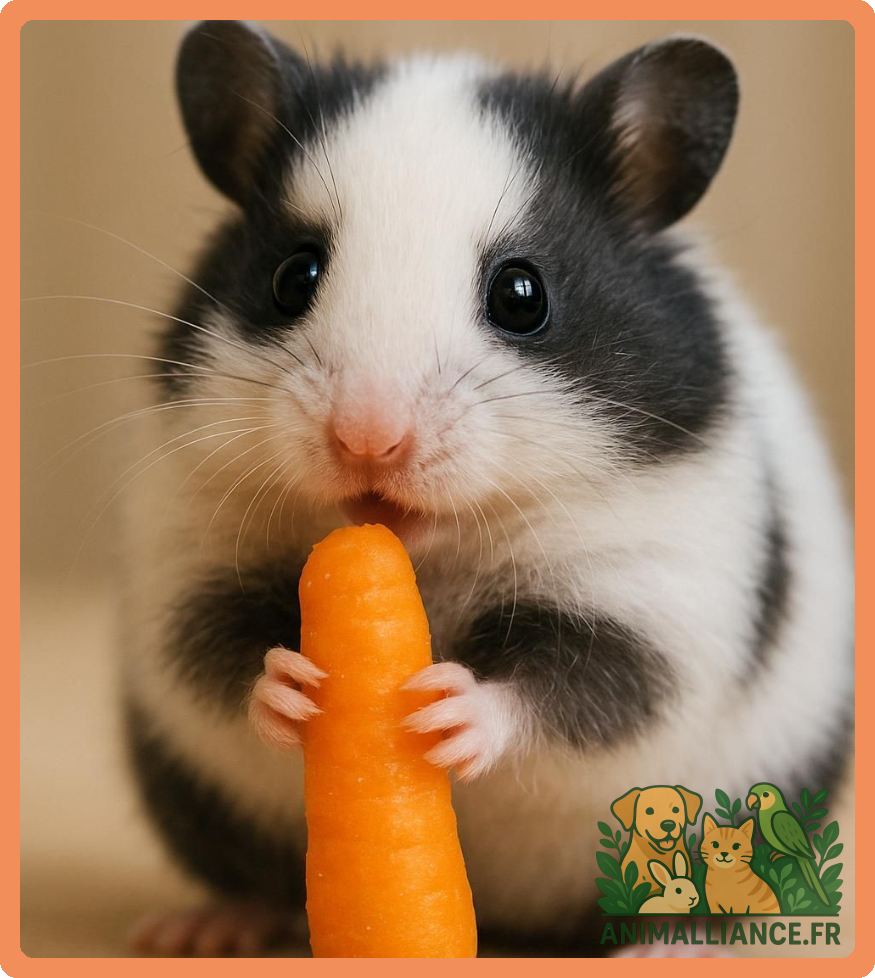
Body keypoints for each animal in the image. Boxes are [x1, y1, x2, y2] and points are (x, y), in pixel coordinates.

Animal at [122, 20, 854, 956]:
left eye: (520, 294)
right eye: (292, 277)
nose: (367, 440)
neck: (437, 554)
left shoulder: (654, 595)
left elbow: (578, 688)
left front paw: (445, 715)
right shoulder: (191, 562)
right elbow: (221, 655)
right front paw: (294, 686)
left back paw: (666, 944)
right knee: (247, 874)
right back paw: (199, 929)